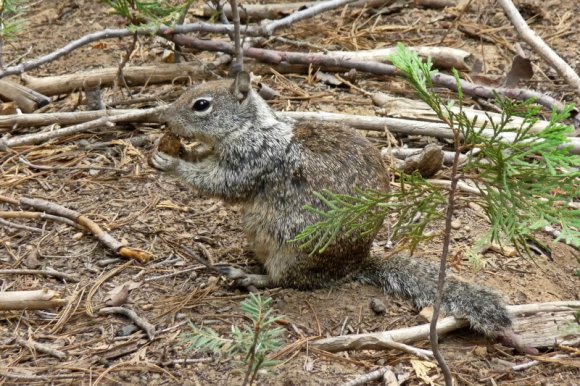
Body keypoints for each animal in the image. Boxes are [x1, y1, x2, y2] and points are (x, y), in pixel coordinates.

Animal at [150, 71, 512, 338]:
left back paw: (249, 276)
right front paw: (182, 150)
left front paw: (171, 163)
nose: (165, 119)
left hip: (290, 249)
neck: (250, 127)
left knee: (285, 281)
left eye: (201, 105)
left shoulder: (250, 160)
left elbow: (221, 183)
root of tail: (354, 265)